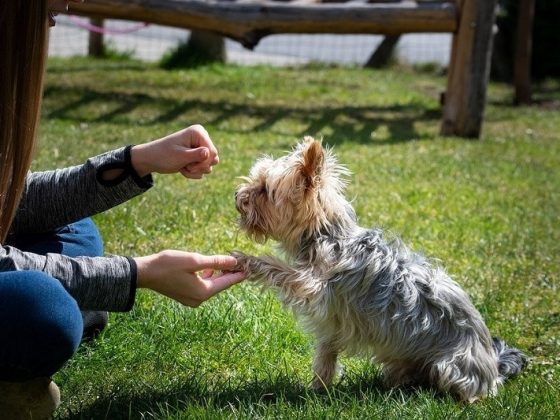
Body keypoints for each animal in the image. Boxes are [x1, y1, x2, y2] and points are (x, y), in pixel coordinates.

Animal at [233, 139, 528, 404]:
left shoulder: (313, 284)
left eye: (264, 189)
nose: (237, 196)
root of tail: (494, 365)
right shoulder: (333, 320)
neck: (326, 235)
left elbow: (280, 269)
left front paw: (246, 260)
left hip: (452, 366)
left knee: (468, 392)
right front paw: (318, 388)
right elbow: (326, 355)